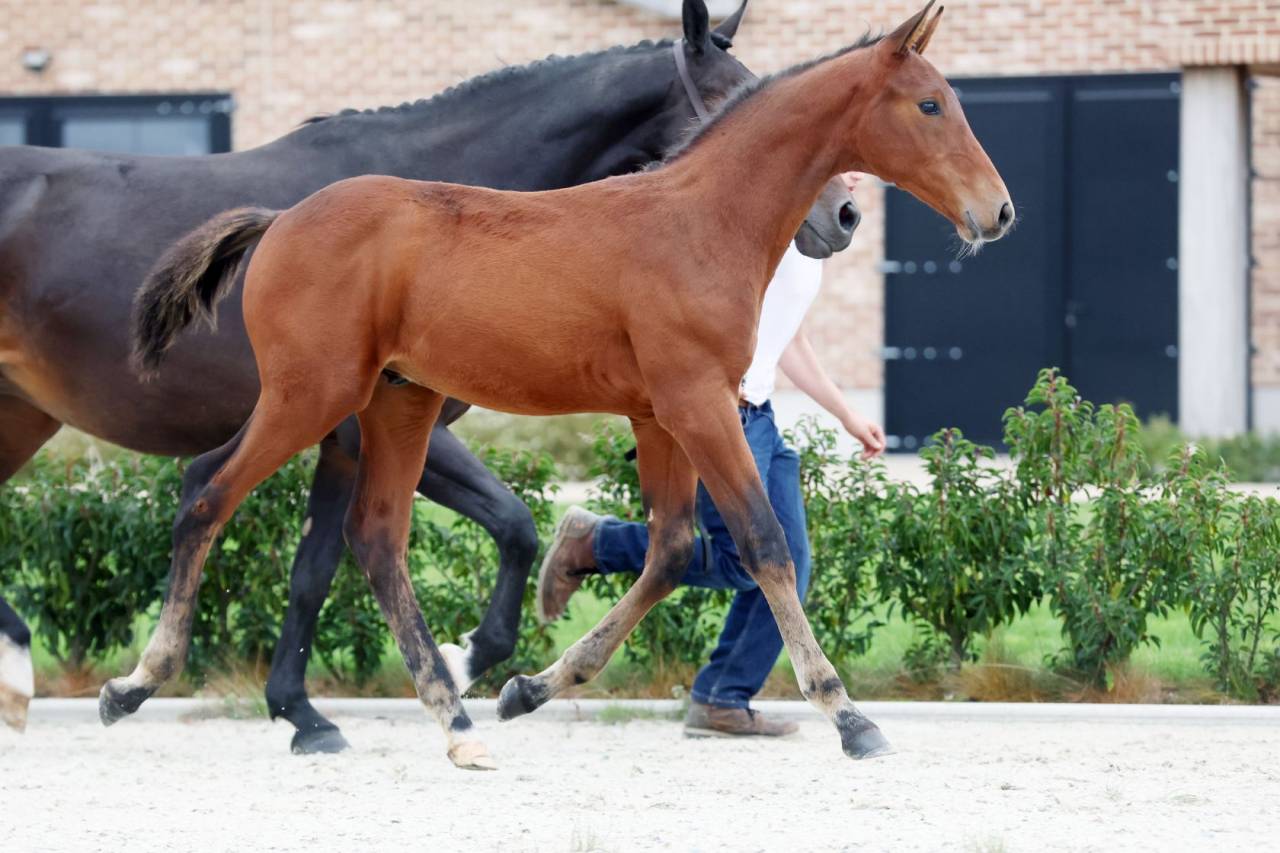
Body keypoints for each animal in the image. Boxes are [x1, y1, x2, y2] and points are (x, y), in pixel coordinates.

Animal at [123, 1, 1010, 770]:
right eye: (930, 104)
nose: (998, 212)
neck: (701, 220)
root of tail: (280, 219)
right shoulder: (698, 402)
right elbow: (764, 543)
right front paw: (849, 714)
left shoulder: (660, 414)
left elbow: (671, 549)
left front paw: (530, 686)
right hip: (311, 393)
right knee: (209, 491)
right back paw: (136, 681)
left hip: (398, 400)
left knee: (374, 538)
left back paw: (456, 720)